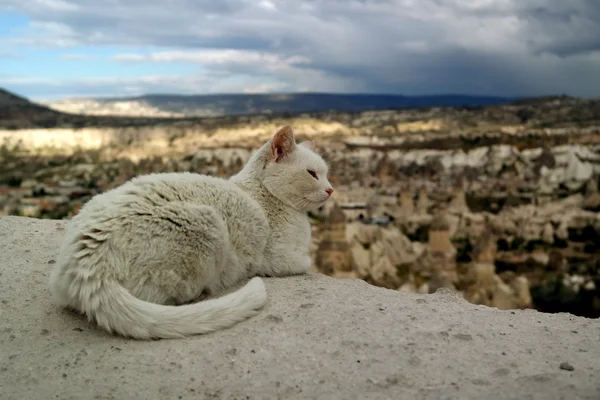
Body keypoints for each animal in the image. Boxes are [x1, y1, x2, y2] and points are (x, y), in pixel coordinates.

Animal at [49, 126, 336, 340]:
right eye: (312, 174)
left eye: (326, 175)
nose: (331, 190)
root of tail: (84, 265)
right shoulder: (280, 259)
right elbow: (304, 262)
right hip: (208, 224)